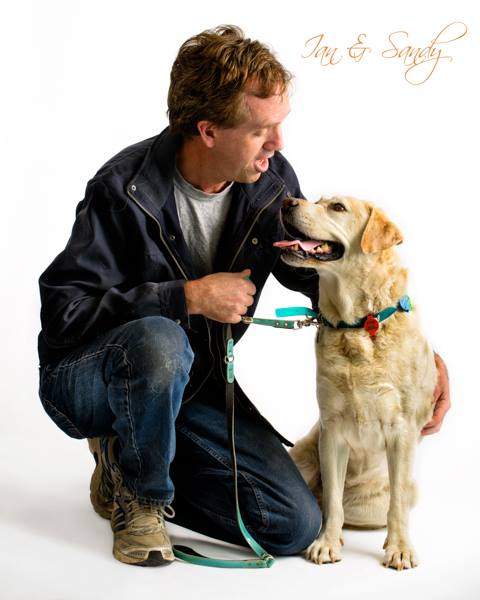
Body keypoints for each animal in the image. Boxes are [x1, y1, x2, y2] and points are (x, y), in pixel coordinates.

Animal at [275, 196, 437, 570]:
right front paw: (326, 544)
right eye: (315, 200)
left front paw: (400, 548)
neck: (359, 324)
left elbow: (396, 507)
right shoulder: (332, 430)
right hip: (303, 458)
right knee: (323, 501)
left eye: (337, 207)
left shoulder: (402, 430)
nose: (288, 200)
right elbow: (332, 500)